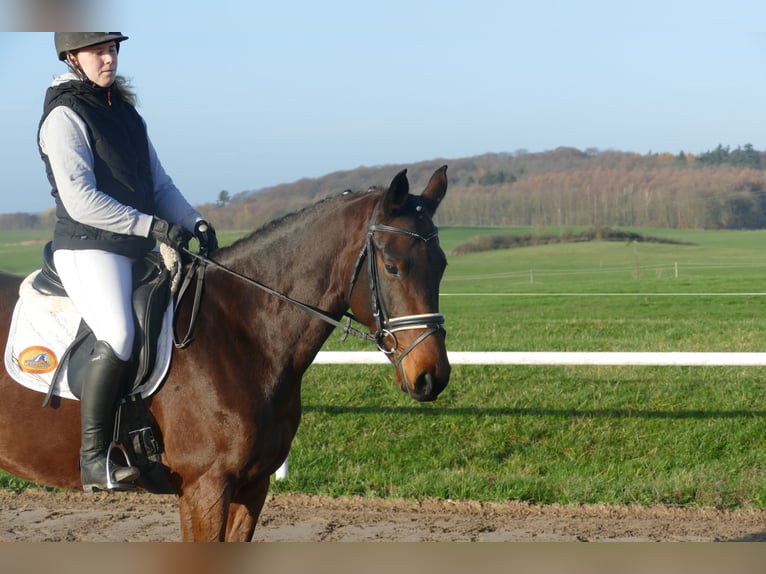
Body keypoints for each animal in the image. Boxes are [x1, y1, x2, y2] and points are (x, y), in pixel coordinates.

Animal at [0, 165, 450, 540]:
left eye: (442, 264)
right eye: (392, 266)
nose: (432, 376)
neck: (243, 332)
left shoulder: (252, 485)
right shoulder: (205, 487)